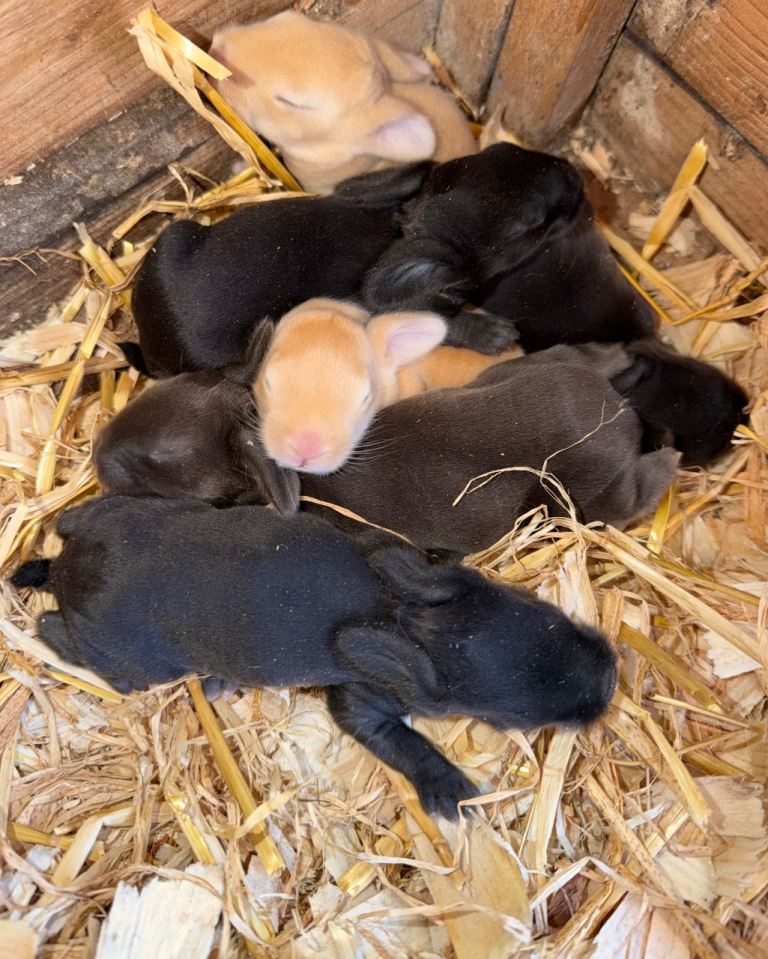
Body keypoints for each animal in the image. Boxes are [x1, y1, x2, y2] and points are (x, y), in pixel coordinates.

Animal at [11, 496, 616, 819]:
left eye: (547, 613)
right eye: (514, 718)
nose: (611, 678)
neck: (408, 619)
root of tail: (65, 568)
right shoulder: (362, 697)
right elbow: (397, 738)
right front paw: (452, 794)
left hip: (125, 511)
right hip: (131, 660)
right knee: (56, 630)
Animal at [94, 344, 680, 554]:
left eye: (168, 455)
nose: (98, 456)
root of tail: (614, 410)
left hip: (580, 493)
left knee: (627, 496)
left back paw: (668, 456)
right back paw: (615, 356)